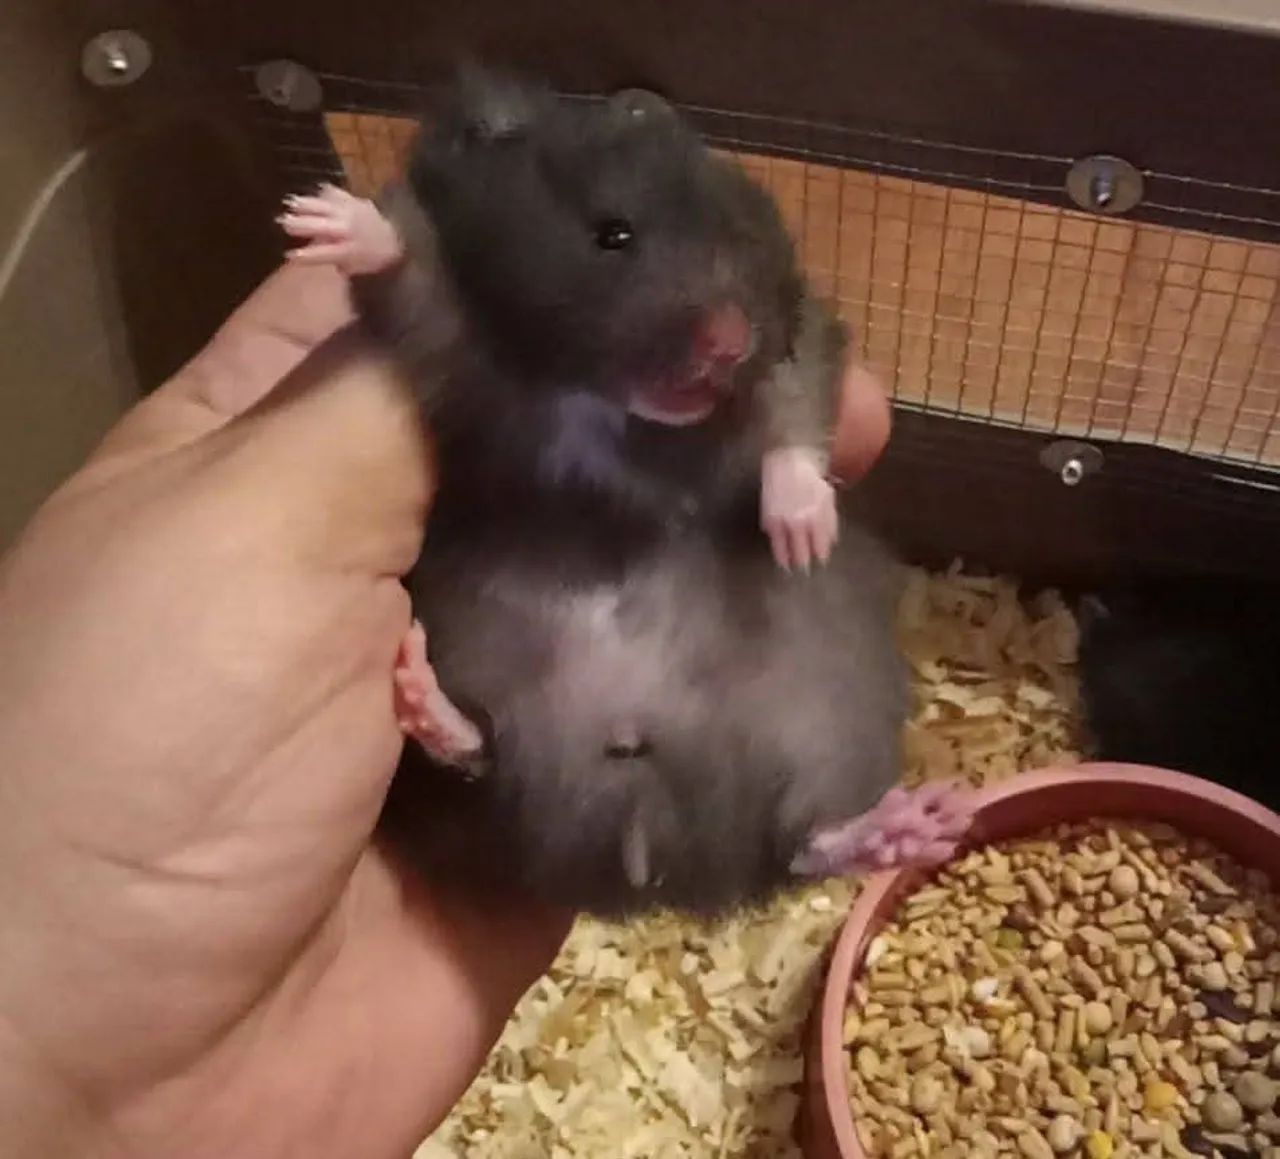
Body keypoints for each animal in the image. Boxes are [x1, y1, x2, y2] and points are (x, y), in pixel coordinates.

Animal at [280, 68, 972, 918]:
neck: (616, 408)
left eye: (739, 236)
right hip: (488, 736)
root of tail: (654, 842)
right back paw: (418, 689)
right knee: (479, 756)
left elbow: (794, 413)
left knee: (807, 839)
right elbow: (413, 278)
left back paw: (919, 823)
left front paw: (802, 535)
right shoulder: (454, 358)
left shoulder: (799, 335)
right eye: (613, 236)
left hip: (832, 717)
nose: (727, 340)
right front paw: (318, 216)